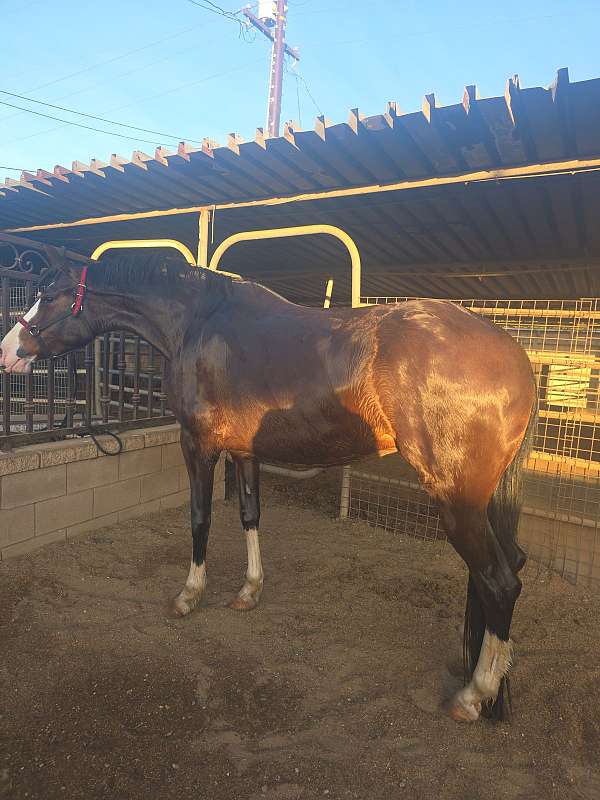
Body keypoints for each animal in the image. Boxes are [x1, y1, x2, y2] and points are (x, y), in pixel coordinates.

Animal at [0, 245, 536, 724]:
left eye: (49, 295)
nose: (8, 351)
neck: (197, 323)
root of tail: (515, 355)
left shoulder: (197, 445)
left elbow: (201, 518)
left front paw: (189, 595)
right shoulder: (245, 451)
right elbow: (250, 515)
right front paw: (249, 590)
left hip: (456, 498)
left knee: (499, 580)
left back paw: (474, 695)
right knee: (508, 565)